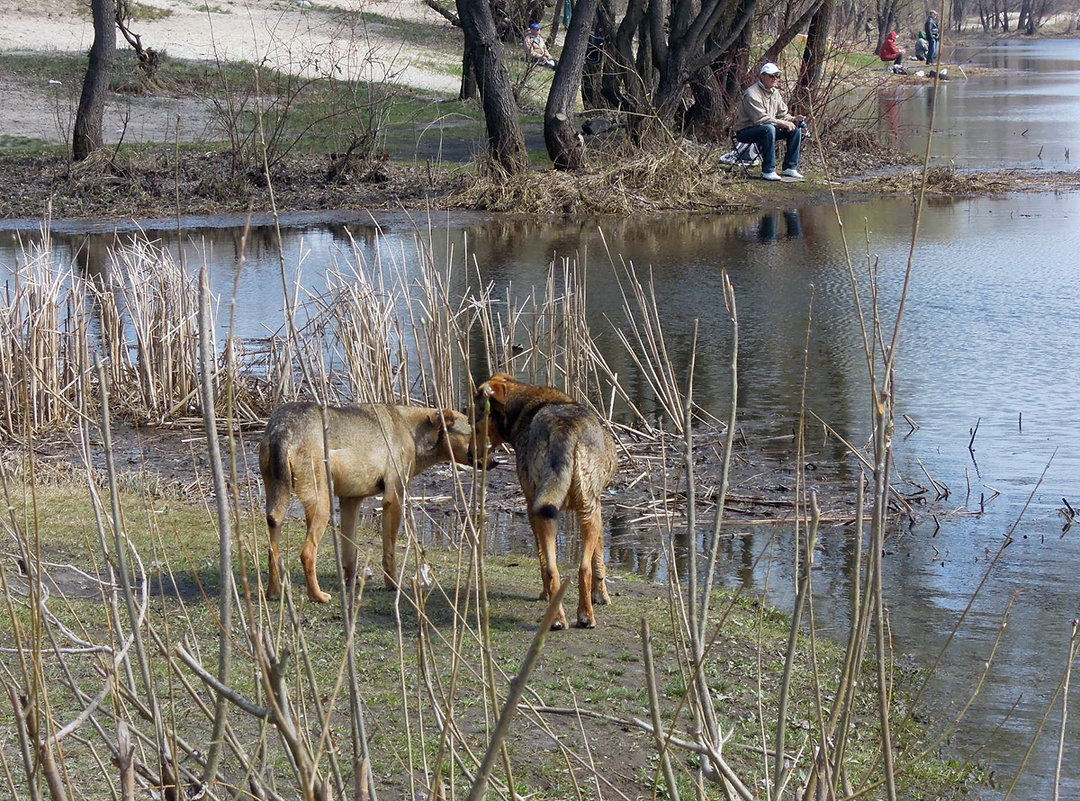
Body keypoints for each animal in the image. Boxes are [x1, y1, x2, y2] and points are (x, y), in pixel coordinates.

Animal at [257, 403, 477, 604]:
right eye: (472, 433)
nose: (489, 459)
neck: (413, 428)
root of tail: (284, 430)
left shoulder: (350, 502)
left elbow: (349, 554)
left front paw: (350, 582)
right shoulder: (394, 499)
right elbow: (389, 553)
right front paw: (393, 585)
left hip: (276, 504)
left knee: (272, 551)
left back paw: (274, 592)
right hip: (321, 506)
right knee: (307, 554)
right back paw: (318, 595)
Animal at [475, 373, 617, 630]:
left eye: (477, 414)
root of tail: (565, 428)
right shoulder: (596, 505)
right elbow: (598, 559)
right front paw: (600, 595)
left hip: (554, 511)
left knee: (559, 568)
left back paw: (563, 617)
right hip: (577, 510)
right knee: (577, 568)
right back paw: (579, 615)